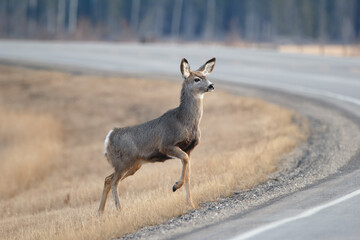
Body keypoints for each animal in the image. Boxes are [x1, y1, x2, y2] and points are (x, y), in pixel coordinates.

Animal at [98, 57, 215, 214]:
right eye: (196, 79)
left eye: (206, 76)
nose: (211, 85)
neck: (184, 121)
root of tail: (109, 137)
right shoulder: (166, 145)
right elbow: (184, 161)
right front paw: (175, 186)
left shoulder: (189, 149)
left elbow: (188, 174)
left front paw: (190, 203)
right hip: (124, 161)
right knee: (114, 181)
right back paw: (120, 211)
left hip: (133, 164)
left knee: (107, 179)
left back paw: (100, 213)